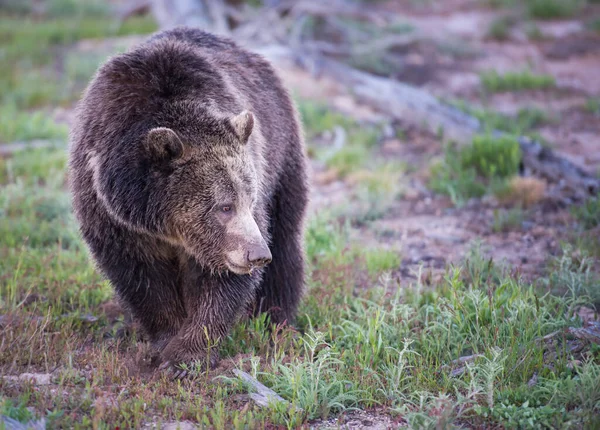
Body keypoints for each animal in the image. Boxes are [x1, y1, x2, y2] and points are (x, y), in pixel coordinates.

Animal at [67, 26, 310, 372]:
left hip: (282, 149)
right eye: (224, 206)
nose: (257, 254)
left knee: (286, 237)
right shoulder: (109, 211)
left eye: (248, 201)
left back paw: (276, 319)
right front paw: (166, 340)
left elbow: (218, 284)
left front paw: (186, 354)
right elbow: (142, 277)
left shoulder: (221, 237)